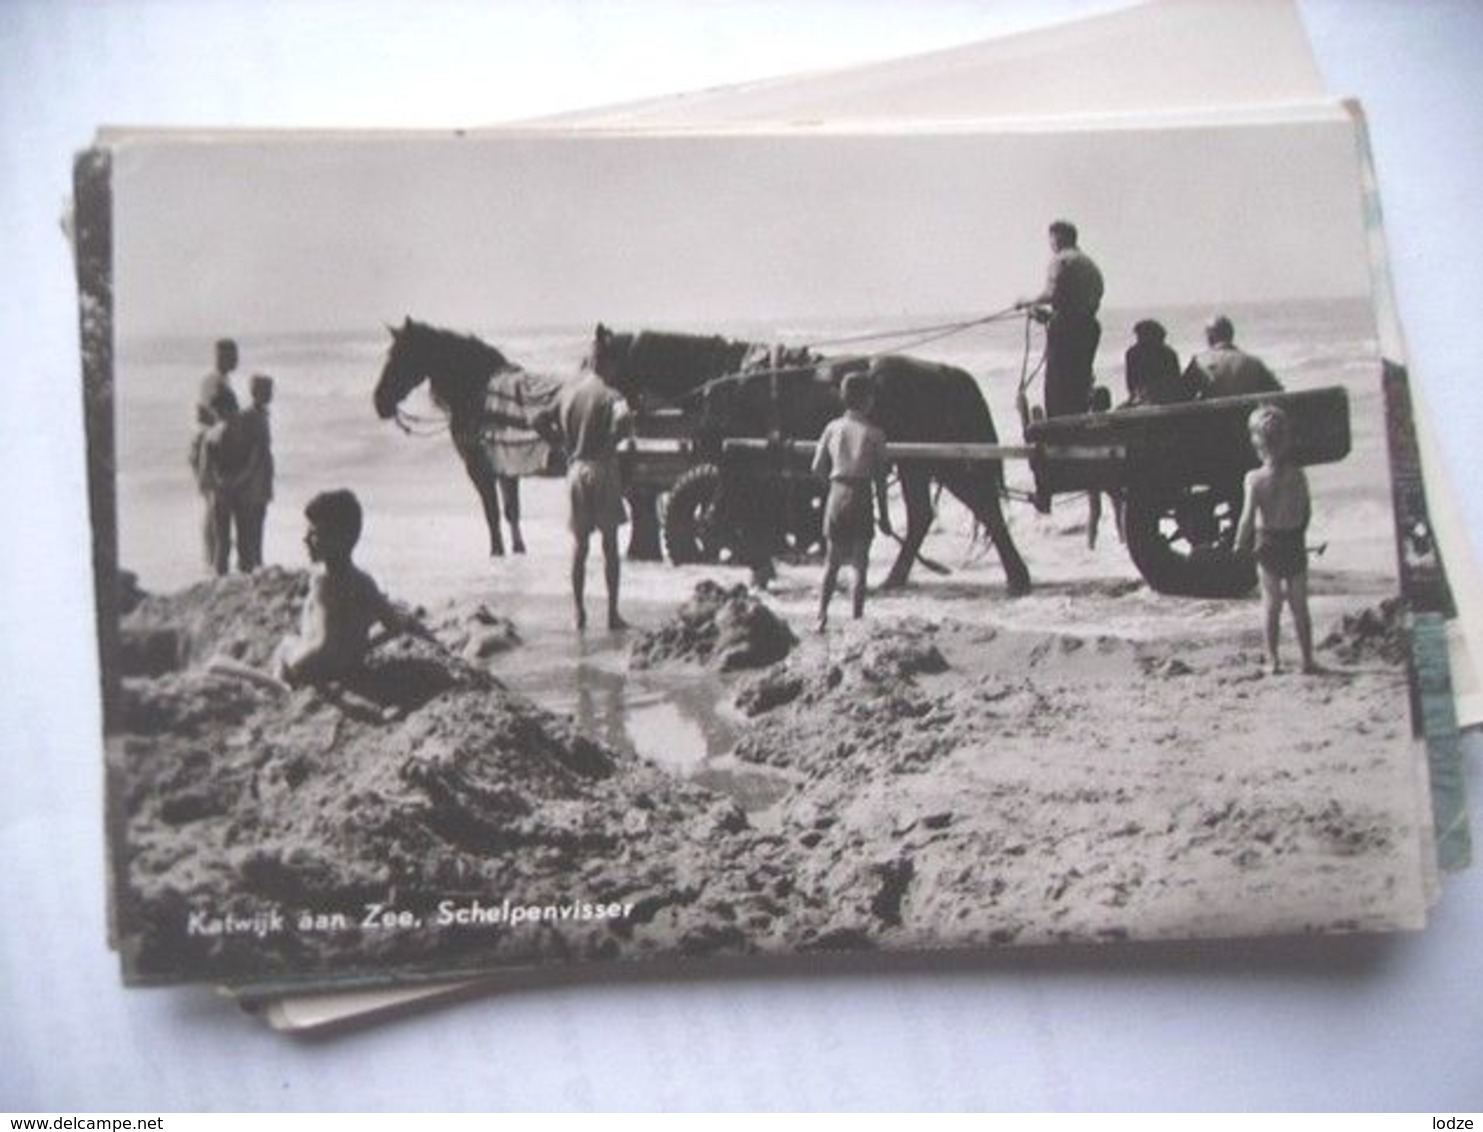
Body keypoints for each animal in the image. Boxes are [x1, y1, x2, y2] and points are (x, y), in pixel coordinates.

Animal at [373, 316, 554, 554]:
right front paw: (518, 550)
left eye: (400, 356)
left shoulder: (481, 470)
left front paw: (497, 552)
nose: (379, 402)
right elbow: (511, 512)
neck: (480, 396)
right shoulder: (505, 470)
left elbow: (493, 515)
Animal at [593, 324, 1032, 596]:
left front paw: (750, 561)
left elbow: (737, 509)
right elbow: (749, 511)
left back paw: (1017, 575)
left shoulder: (740, 460)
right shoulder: (753, 464)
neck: (727, 378)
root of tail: (946, 372)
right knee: (927, 515)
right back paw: (897, 577)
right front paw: (758, 565)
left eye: (595, 363)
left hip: (946, 463)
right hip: (916, 466)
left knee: (985, 508)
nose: (606, 416)